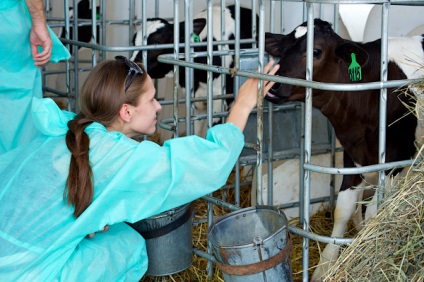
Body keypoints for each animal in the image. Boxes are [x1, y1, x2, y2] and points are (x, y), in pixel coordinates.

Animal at [264, 19, 424, 280]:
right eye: (282, 50)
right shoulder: (353, 154)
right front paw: (325, 267)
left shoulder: (397, 157)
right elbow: (343, 209)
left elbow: (374, 211)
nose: (272, 86)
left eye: (316, 51)